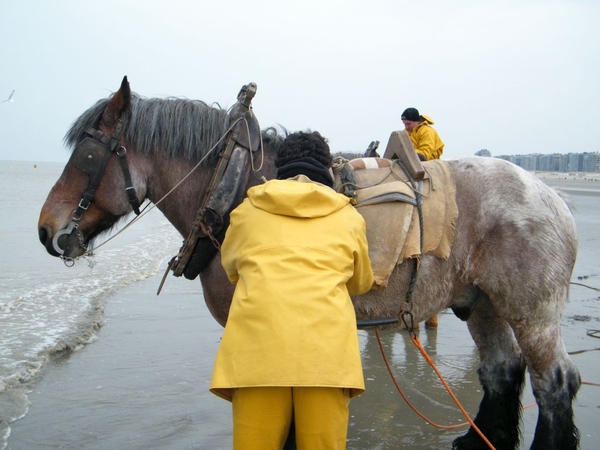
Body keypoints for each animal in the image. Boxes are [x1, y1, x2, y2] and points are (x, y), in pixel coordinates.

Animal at [38, 76, 580, 446]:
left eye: (86, 157)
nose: (45, 229)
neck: (234, 187)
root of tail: (552, 197)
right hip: (481, 301)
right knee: (502, 371)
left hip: (532, 309)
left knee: (554, 384)